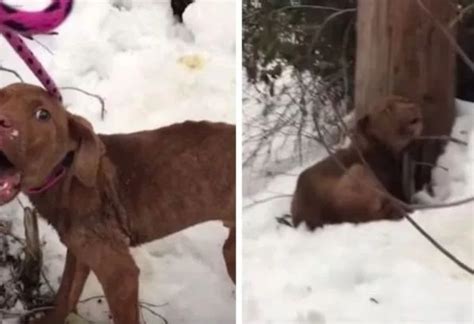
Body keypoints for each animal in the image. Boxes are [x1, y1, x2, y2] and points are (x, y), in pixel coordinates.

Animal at [0, 84, 236, 324]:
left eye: (43, 115)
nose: (1, 122)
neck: (65, 177)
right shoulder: (80, 252)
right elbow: (65, 295)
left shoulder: (120, 275)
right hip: (231, 250)